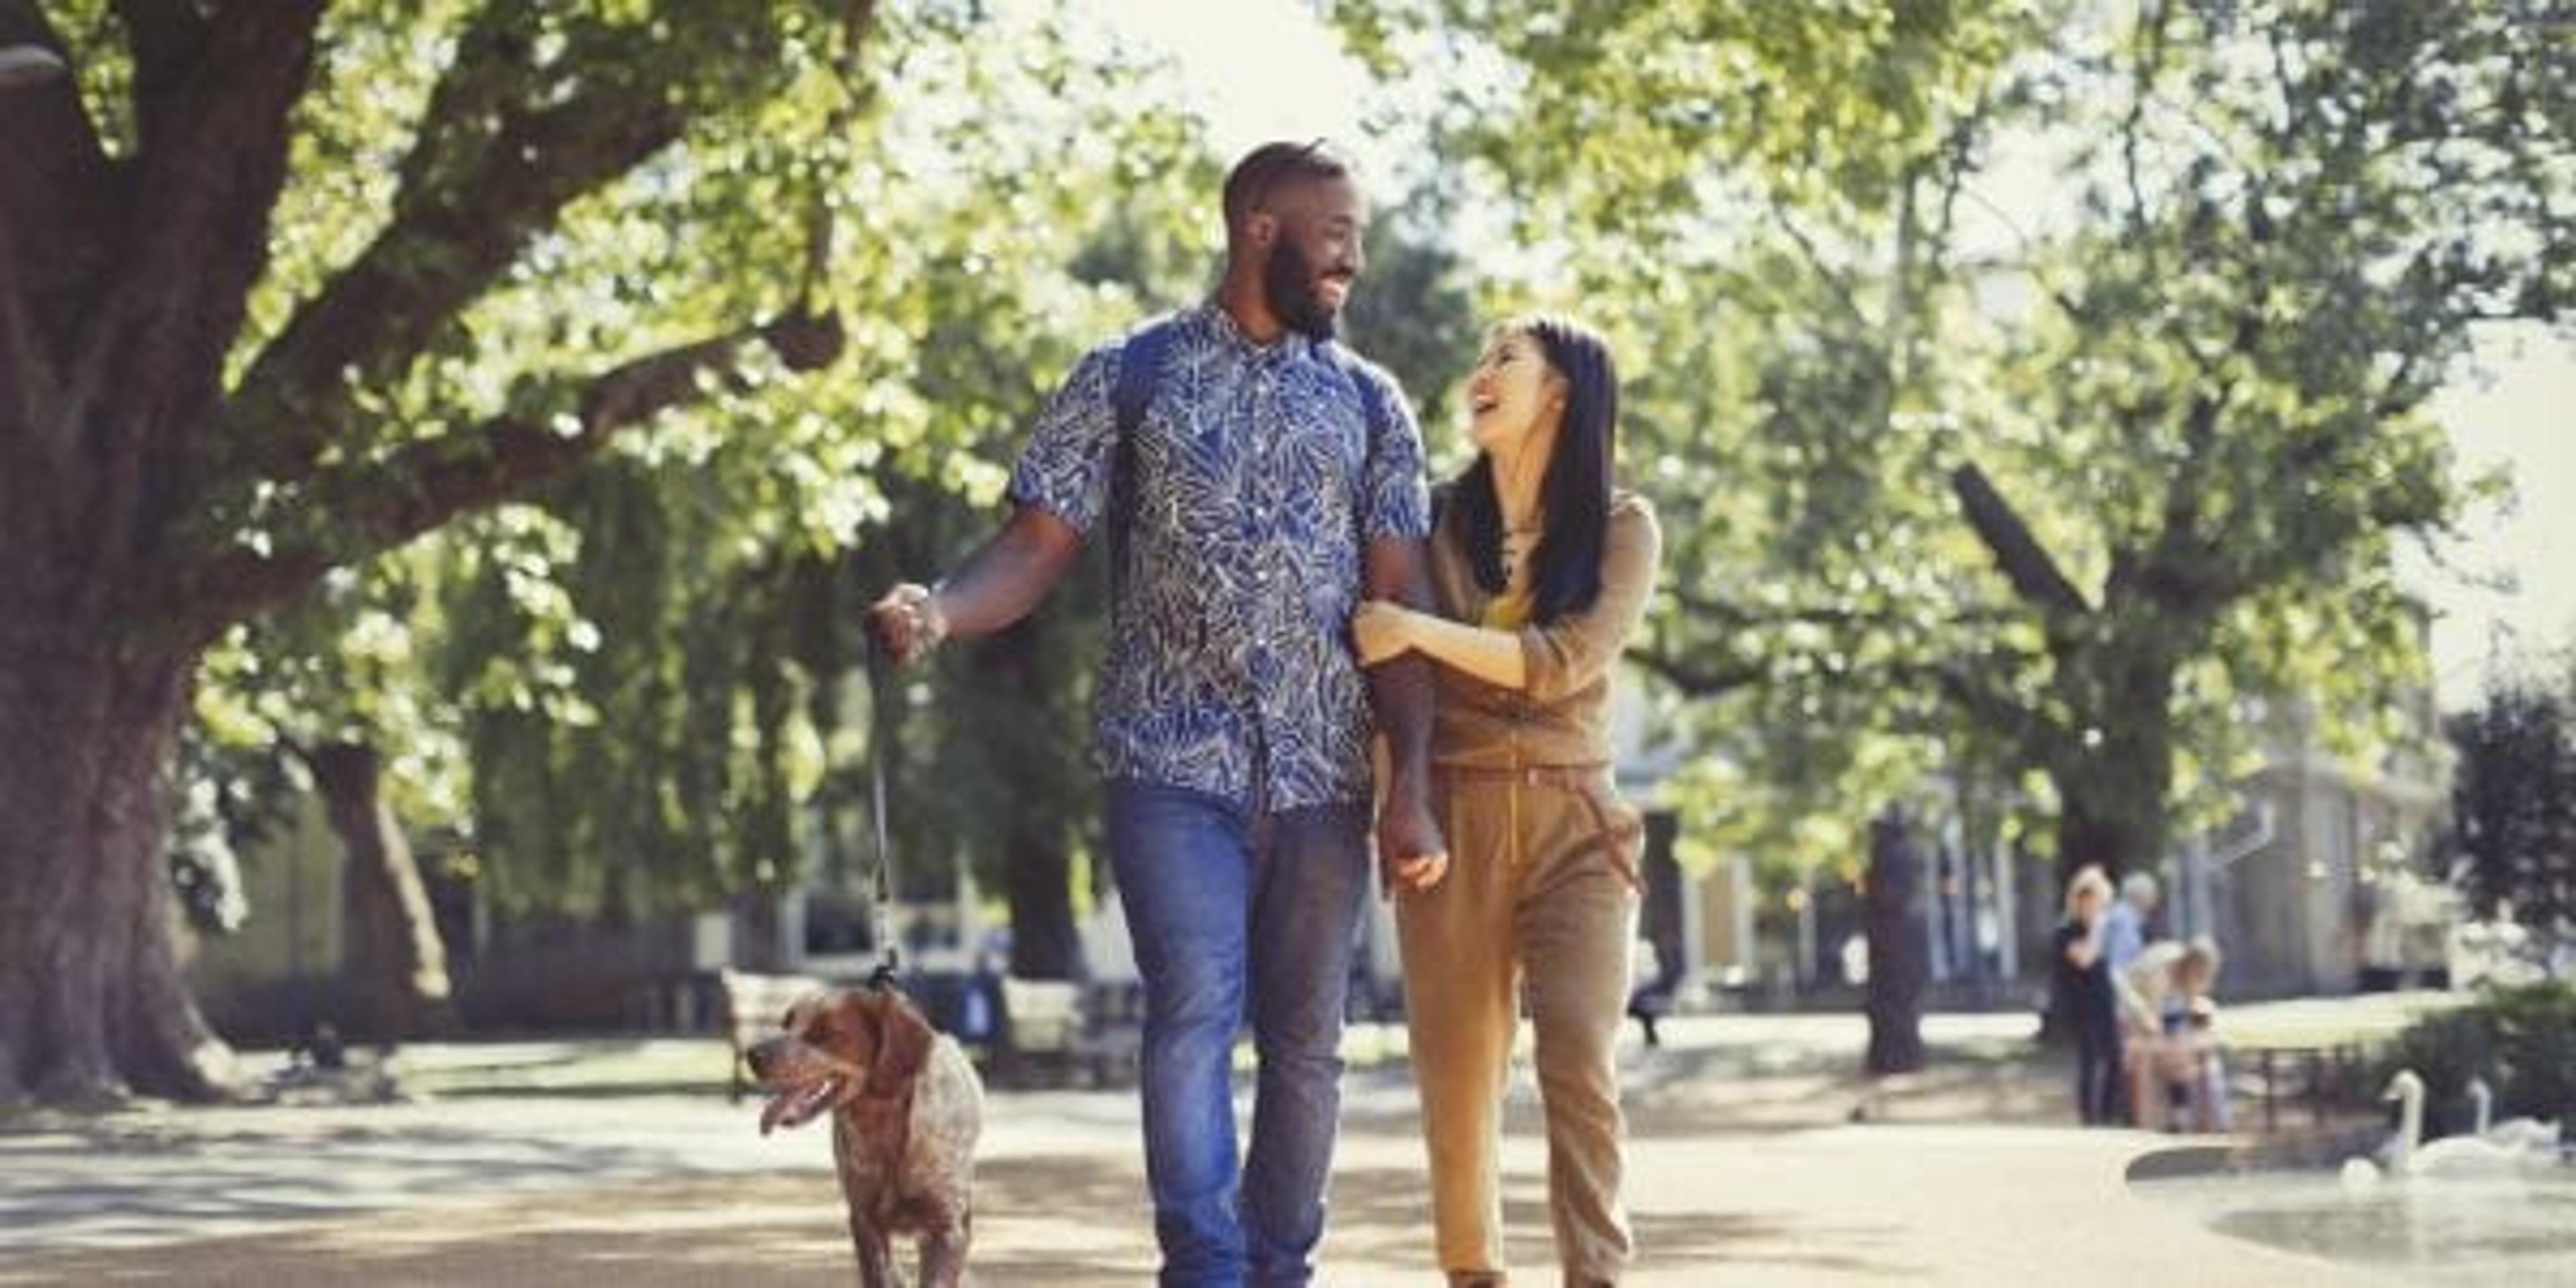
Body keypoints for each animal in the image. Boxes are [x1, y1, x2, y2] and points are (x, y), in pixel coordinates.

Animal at [752, 989, 983, 1283]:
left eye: (825, 1032)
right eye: (786, 1025)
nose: (752, 1055)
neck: (885, 1133)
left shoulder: (947, 1227)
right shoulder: (865, 1222)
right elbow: (880, 1275)